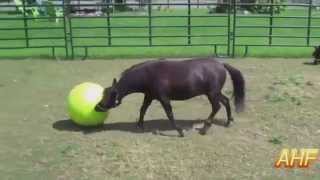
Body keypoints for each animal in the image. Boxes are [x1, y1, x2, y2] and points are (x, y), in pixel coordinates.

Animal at [94, 57, 245, 136]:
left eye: (108, 96)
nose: (97, 107)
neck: (148, 75)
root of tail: (221, 64)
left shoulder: (163, 98)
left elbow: (169, 114)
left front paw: (180, 131)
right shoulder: (149, 96)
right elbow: (143, 109)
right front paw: (140, 125)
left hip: (212, 94)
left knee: (216, 107)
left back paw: (205, 128)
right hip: (215, 93)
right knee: (226, 101)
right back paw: (228, 122)